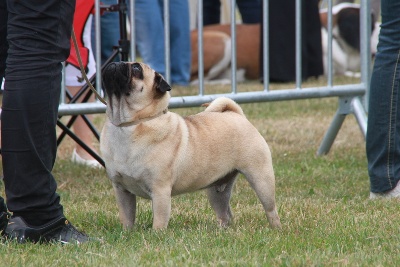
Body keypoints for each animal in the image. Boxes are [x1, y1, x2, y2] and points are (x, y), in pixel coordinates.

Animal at [100, 61, 282, 229]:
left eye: (137, 68)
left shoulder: (160, 191)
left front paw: (157, 236)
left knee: (270, 209)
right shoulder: (122, 190)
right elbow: (127, 217)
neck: (128, 125)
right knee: (225, 214)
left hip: (261, 179)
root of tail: (236, 114)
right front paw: (127, 234)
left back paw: (276, 229)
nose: (116, 62)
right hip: (217, 191)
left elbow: (159, 221)